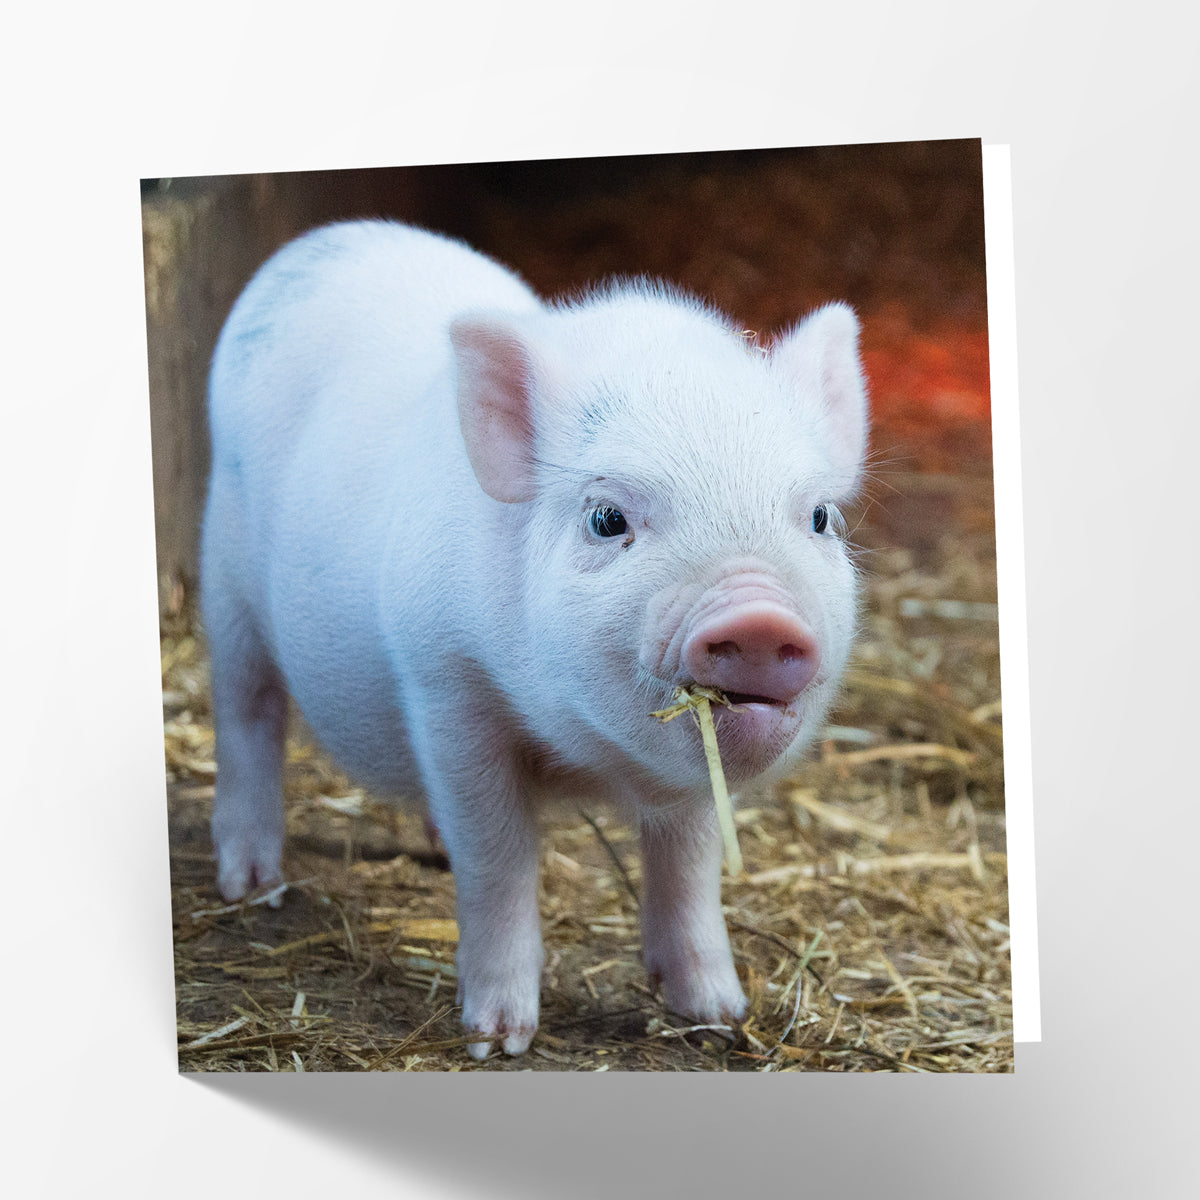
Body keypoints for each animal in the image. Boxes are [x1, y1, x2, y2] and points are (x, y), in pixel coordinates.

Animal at [201, 219, 868, 1059]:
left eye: (819, 518)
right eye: (607, 518)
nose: (758, 617)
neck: (586, 758)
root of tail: (321, 241)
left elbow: (690, 865)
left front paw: (719, 1015)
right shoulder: (446, 684)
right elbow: (498, 858)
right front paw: (496, 1039)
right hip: (225, 582)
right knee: (246, 713)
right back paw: (251, 886)